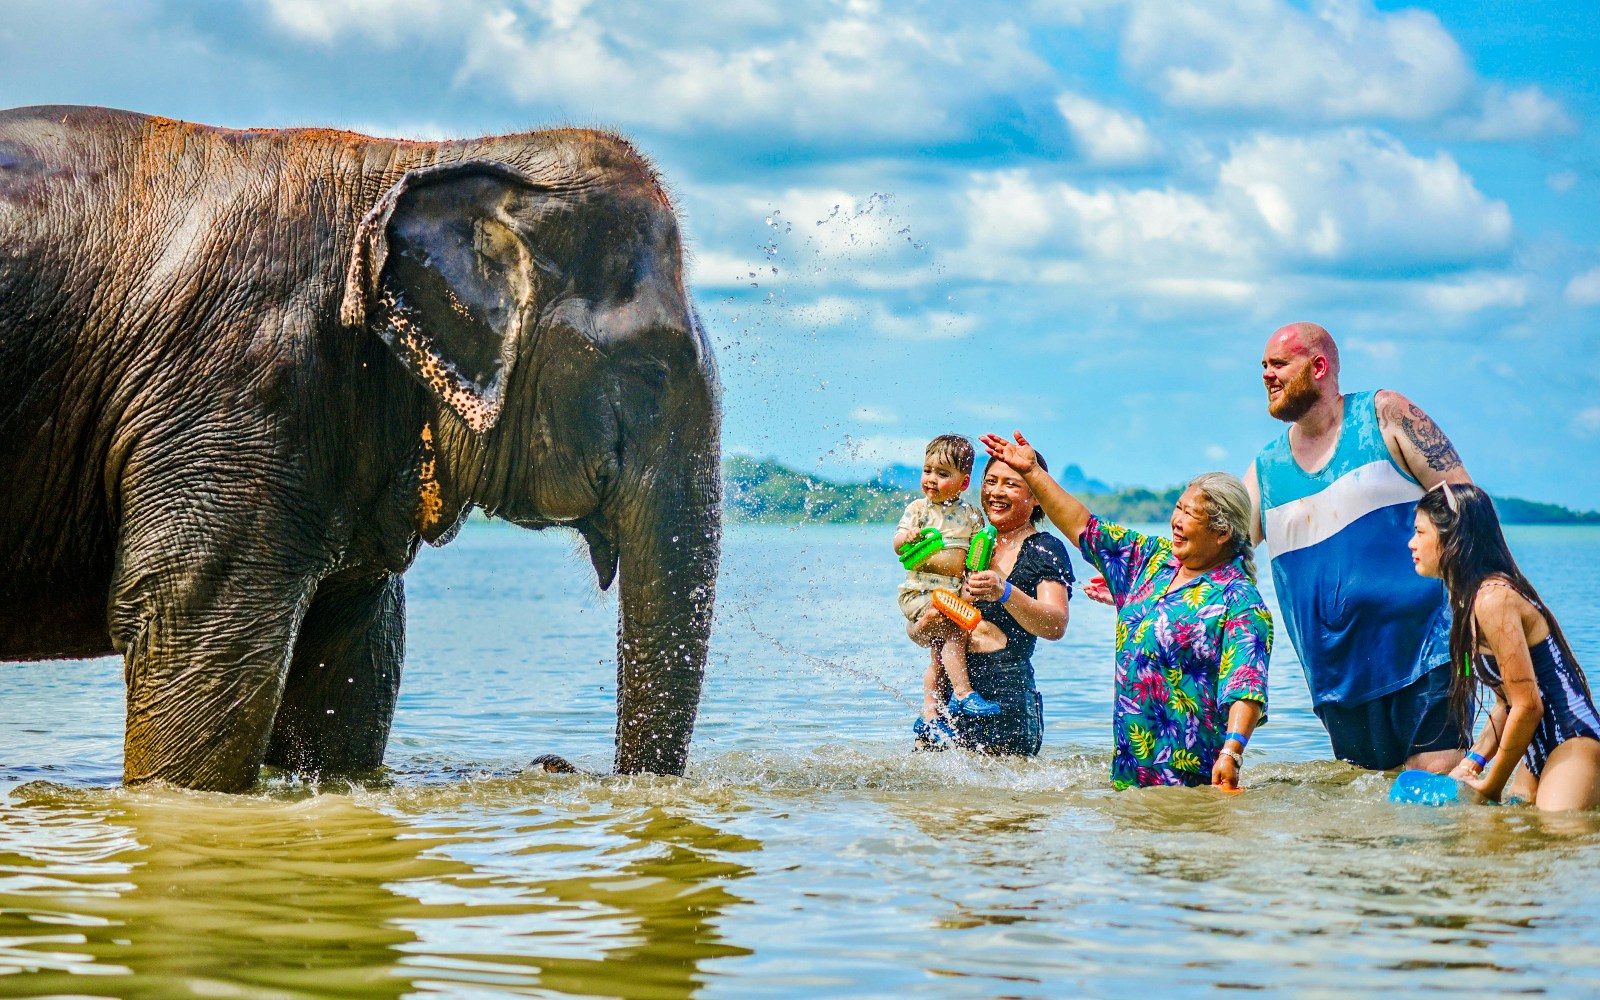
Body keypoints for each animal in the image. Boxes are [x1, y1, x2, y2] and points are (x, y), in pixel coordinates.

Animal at [0, 105, 721, 792]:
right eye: (651, 372)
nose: (556, 761)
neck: (423, 159)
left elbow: (353, 660)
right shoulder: (235, 389)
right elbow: (198, 628)